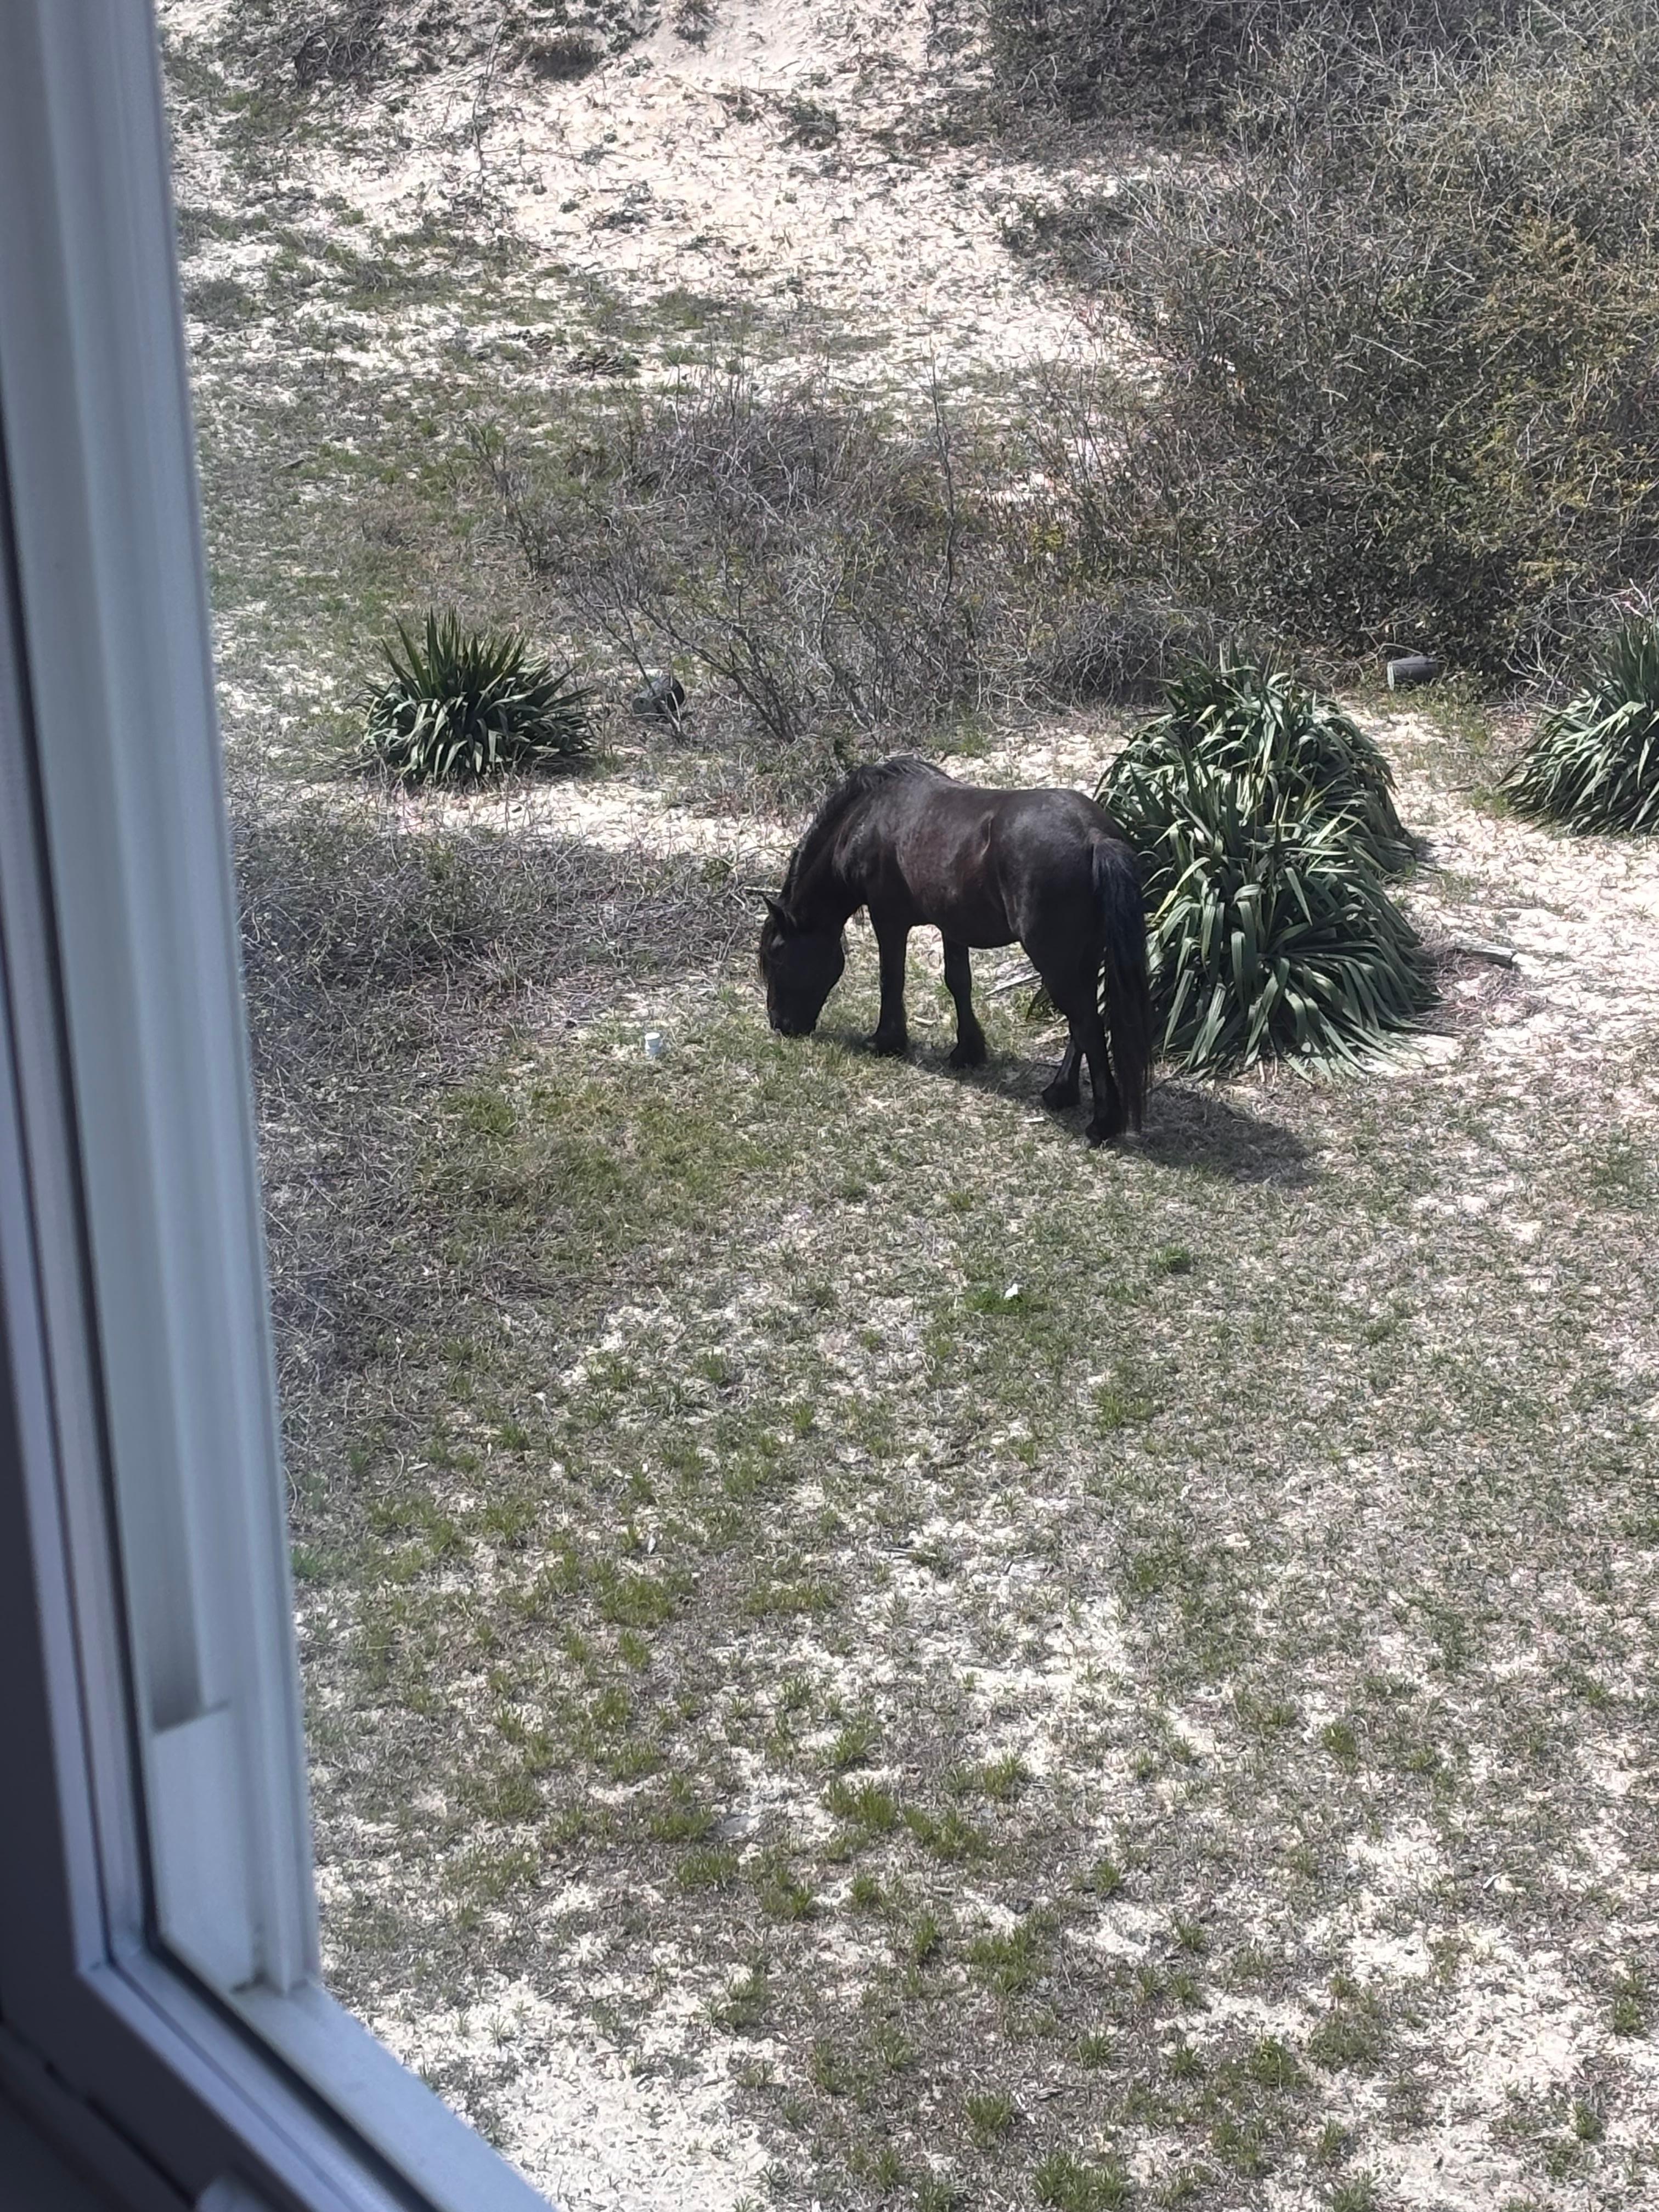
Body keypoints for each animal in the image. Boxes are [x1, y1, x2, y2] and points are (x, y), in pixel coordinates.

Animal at [758, 756, 1152, 1143]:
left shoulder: (888, 919)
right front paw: (968, 1050)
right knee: (1082, 1022)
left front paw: (886, 1041)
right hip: (1082, 957)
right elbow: (958, 982)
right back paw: (1061, 1092)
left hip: (1056, 961)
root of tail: (1094, 836)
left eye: (777, 956)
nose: (780, 1024)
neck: (868, 817)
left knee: (1087, 1024)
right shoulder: (953, 926)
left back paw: (1103, 1122)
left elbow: (891, 978)